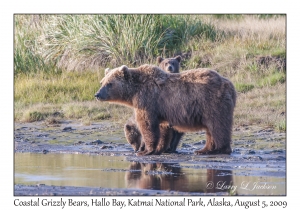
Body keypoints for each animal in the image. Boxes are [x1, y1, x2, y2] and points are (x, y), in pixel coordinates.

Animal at [95, 64, 236, 156]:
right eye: (102, 82)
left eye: (110, 83)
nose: (97, 94)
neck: (134, 92)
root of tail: (230, 85)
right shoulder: (162, 110)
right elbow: (163, 129)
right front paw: (159, 149)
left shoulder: (147, 100)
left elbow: (147, 125)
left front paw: (145, 151)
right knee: (210, 129)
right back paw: (203, 150)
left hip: (211, 102)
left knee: (217, 126)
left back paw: (219, 149)